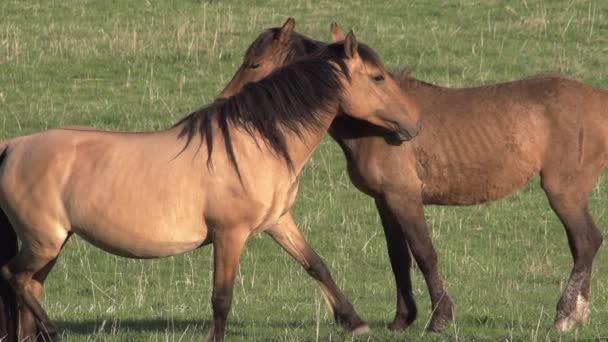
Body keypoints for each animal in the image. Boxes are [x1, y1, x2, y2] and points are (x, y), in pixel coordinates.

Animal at [0, 32, 422, 342]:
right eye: (378, 77)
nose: (414, 124)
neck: (254, 143)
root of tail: (14, 146)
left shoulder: (278, 221)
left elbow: (315, 264)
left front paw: (354, 321)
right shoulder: (230, 234)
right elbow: (222, 297)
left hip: (52, 245)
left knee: (27, 287)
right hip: (44, 242)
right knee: (13, 277)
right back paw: (51, 330)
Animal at [218, 18, 608, 332]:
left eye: (254, 63)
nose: (224, 101)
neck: (377, 125)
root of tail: (597, 98)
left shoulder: (404, 197)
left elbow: (424, 252)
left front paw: (440, 318)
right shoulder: (385, 202)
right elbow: (399, 257)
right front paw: (403, 318)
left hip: (563, 192)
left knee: (586, 241)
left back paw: (565, 315)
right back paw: (578, 313)